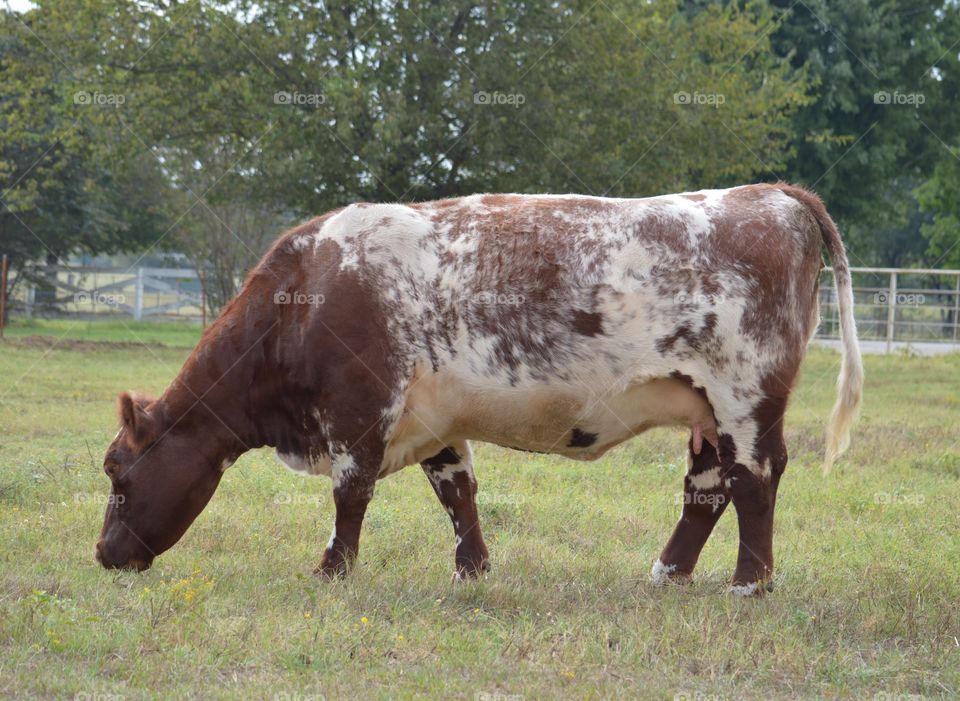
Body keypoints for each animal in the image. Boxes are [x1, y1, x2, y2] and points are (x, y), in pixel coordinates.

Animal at [97, 183, 864, 592]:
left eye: (119, 477)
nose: (105, 556)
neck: (309, 288)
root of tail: (770, 194)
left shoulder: (358, 412)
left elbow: (351, 495)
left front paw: (332, 570)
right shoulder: (436, 418)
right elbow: (456, 490)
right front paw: (473, 570)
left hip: (744, 397)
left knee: (756, 479)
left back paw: (750, 583)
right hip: (703, 409)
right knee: (706, 489)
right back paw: (666, 572)